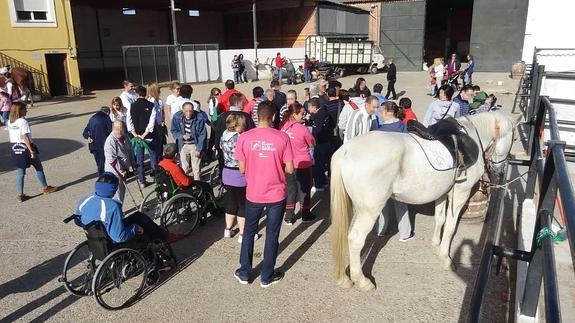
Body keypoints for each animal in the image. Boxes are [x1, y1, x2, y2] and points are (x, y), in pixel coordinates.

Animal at [330, 112, 520, 292]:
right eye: (514, 139)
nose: (500, 171)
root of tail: (346, 150)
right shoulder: (460, 193)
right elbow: (450, 226)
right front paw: (446, 258)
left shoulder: (443, 193)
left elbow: (440, 220)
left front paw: (436, 247)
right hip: (369, 211)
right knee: (355, 239)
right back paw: (361, 280)